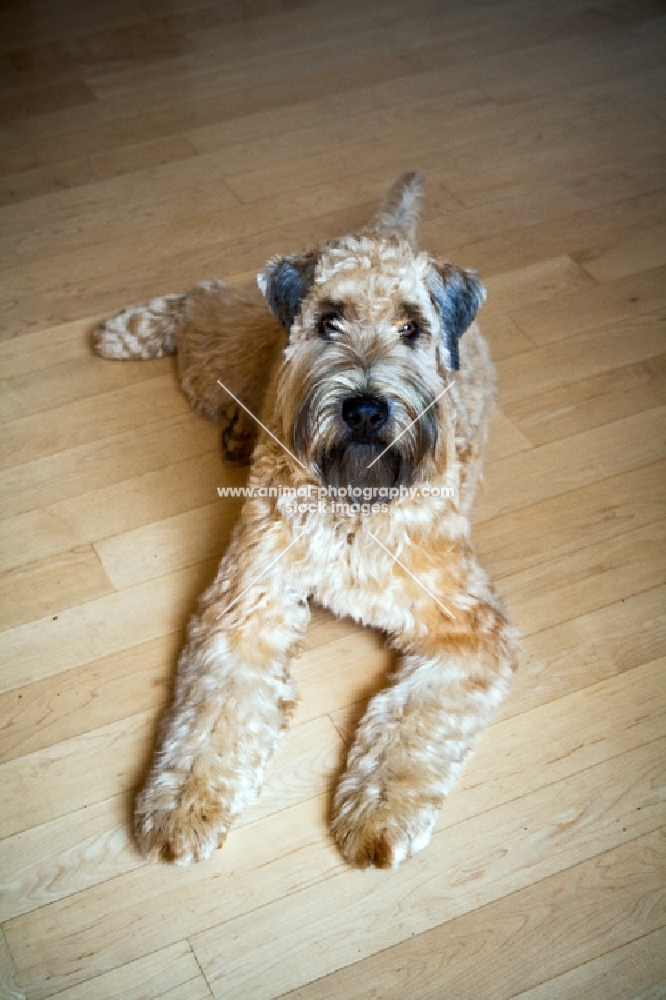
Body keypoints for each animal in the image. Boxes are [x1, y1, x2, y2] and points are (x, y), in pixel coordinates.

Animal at [93, 172, 520, 868]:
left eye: (412, 327)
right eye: (329, 320)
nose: (366, 409)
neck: (351, 501)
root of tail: (386, 231)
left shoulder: (467, 629)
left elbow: (415, 720)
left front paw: (380, 811)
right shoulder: (249, 602)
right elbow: (212, 715)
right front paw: (183, 803)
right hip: (235, 356)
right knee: (204, 302)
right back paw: (125, 329)